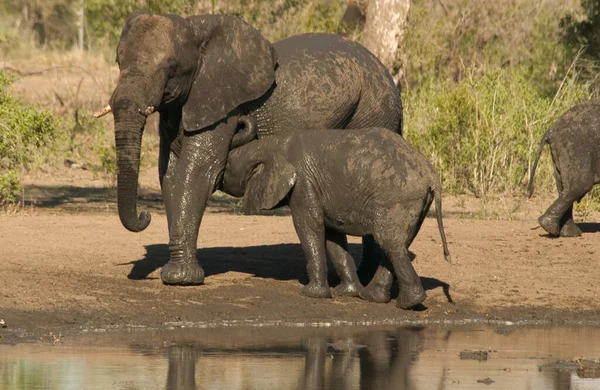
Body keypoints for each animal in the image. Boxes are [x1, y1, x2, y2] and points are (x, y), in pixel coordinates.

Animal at [99, 9, 404, 286]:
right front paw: (178, 273)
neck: (195, 30)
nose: (145, 215)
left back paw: (368, 280)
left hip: (375, 110)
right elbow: (171, 175)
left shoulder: (223, 106)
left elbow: (196, 173)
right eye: (118, 60)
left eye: (171, 67)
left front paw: (180, 279)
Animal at [224, 124, 450, 308]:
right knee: (398, 243)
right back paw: (373, 297)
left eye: (226, 168)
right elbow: (333, 235)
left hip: (398, 197)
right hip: (416, 202)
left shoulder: (303, 183)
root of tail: (431, 173)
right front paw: (346, 293)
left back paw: (408, 303)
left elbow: (309, 226)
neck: (272, 145)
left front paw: (311, 294)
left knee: (390, 243)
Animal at [528, 100, 600, 238]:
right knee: (580, 185)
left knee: (565, 188)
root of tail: (551, 129)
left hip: (563, 150)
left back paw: (567, 233)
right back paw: (551, 228)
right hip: (576, 147)